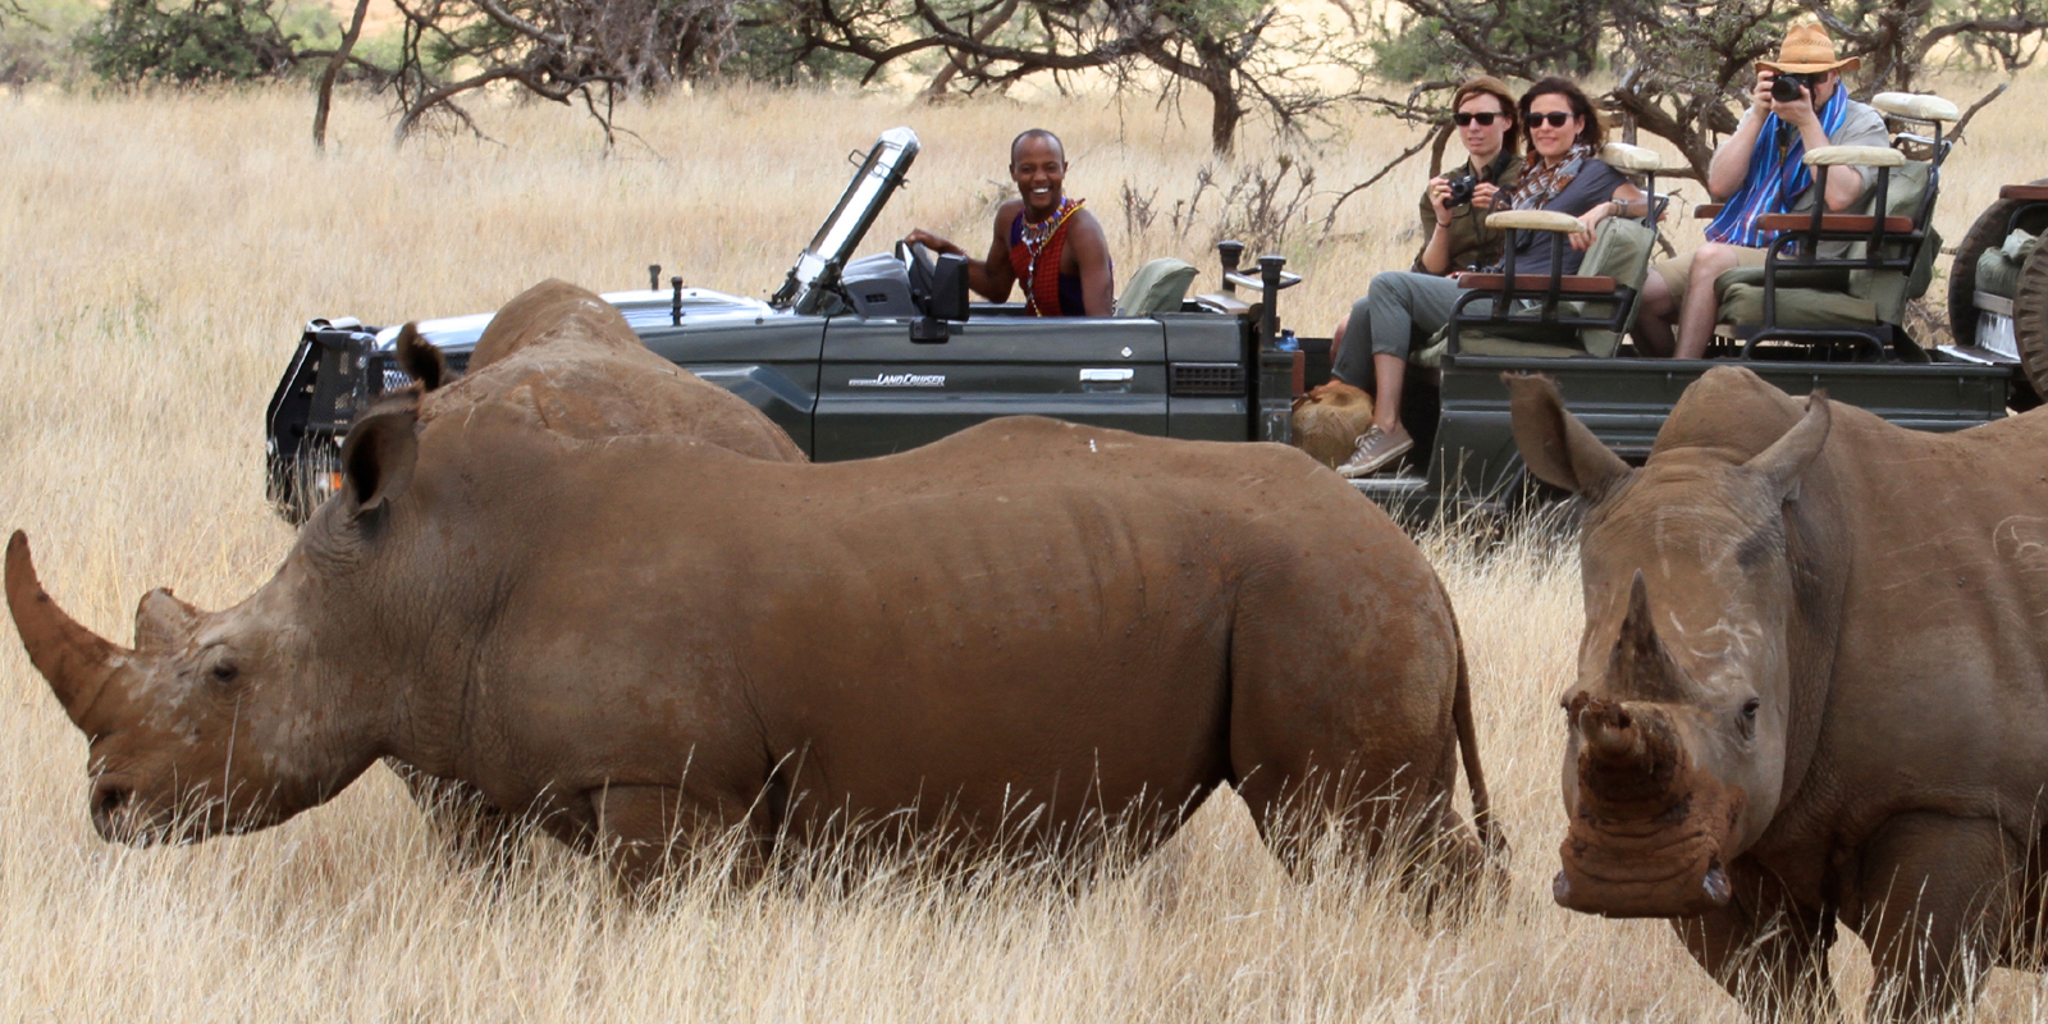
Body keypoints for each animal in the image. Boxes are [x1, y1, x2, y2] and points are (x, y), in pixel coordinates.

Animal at [6, 285, 1496, 894]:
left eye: (224, 672)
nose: (107, 807)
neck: (416, 571)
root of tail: (1423, 567)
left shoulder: (667, 790)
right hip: (1327, 588)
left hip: (1325, 594)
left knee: (1349, 840)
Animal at [1508, 367, 2048, 1021]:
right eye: (1570, 708)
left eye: (1750, 711)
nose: (1634, 877)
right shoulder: (1728, 832)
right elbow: (1779, 990)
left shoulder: (1960, 802)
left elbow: (1915, 988)